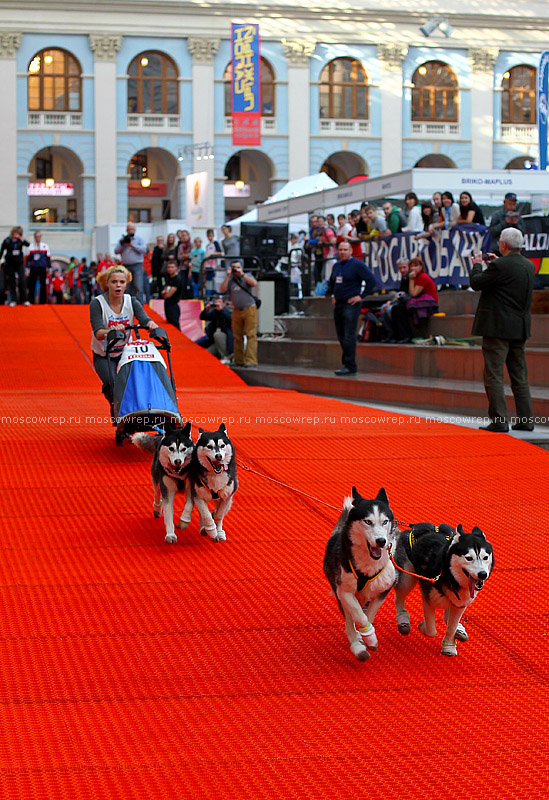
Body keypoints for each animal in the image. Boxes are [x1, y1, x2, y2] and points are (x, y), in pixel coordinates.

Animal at [322, 488, 394, 664]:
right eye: (367, 521)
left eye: (385, 521)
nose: (381, 541)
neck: (368, 566)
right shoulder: (344, 591)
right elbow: (359, 617)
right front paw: (369, 638)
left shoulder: (384, 589)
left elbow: (369, 615)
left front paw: (368, 637)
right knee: (350, 620)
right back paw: (357, 646)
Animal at [392, 520, 494, 656]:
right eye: (469, 558)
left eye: (485, 557)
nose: (482, 574)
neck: (449, 575)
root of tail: (410, 530)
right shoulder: (429, 599)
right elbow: (431, 630)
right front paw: (422, 626)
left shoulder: (460, 603)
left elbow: (451, 626)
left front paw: (448, 646)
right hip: (407, 579)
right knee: (399, 597)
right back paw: (403, 620)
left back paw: (459, 629)